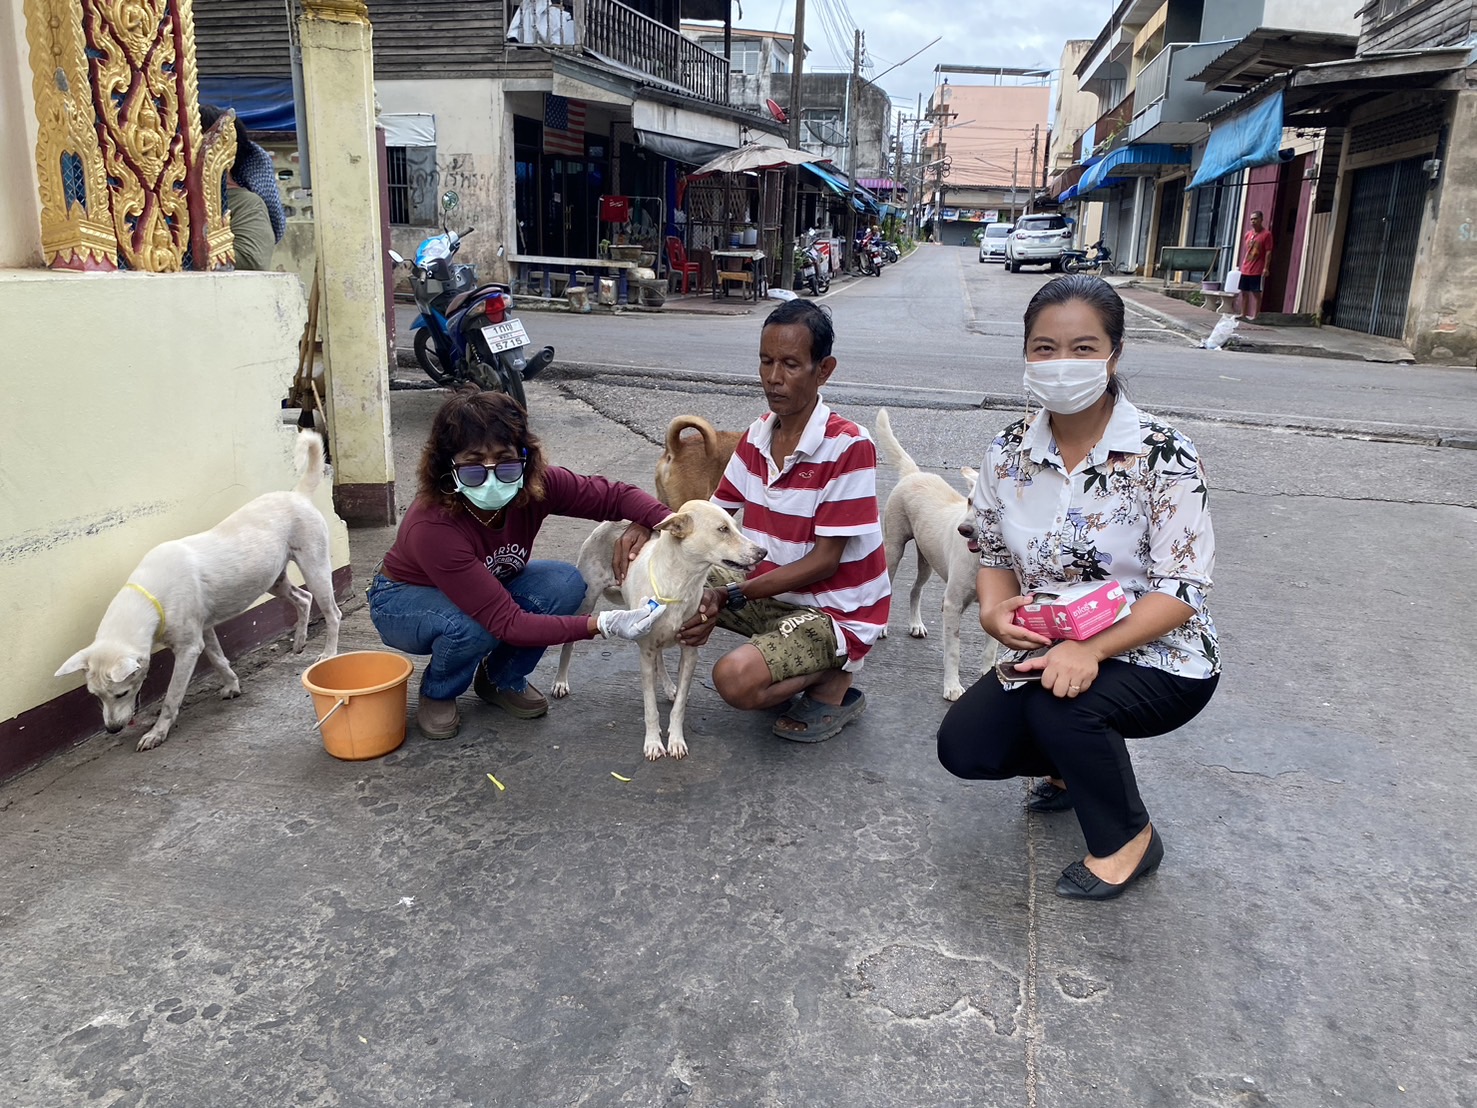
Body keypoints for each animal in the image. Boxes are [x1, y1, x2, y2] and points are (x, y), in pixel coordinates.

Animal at [56, 428, 339, 750]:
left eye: (121, 693)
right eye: (95, 696)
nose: (113, 729)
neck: (149, 600)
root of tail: (297, 494)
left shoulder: (188, 648)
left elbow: (172, 696)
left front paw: (157, 733)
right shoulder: (204, 630)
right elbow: (218, 659)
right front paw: (232, 685)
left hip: (315, 568)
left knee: (332, 613)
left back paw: (327, 653)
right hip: (274, 581)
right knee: (303, 598)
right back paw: (300, 641)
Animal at [549, 502, 768, 762]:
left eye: (734, 526)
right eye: (722, 529)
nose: (763, 552)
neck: (681, 583)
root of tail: (613, 521)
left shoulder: (690, 650)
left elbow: (679, 706)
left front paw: (675, 740)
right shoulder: (644, 652)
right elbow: (650, 707)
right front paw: (653, 742)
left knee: (661, 657)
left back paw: (668, 686)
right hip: (587, 601)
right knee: (569, 643)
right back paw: (560, 681)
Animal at [874, 407, 1004, 703]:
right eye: (969, 501)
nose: (963, 530)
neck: (983, 559)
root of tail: (913, 473)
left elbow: (990, 649)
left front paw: (986, 673)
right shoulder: (953, 605)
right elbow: (953, 653)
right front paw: (952, 687)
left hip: (927, 561)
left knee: (915, 590)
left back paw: (915, 624)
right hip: (893, 550)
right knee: (888, 588)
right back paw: (881, 627)